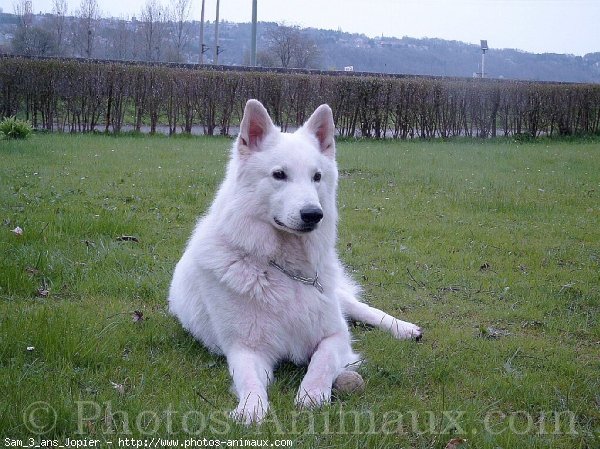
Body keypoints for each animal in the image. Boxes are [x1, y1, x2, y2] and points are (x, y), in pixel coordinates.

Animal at [168, 99, 422, 424]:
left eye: (317, 177)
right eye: (279, 175)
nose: (314, 214)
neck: (283, 269)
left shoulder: (335, 335)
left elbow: (322, 362)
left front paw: (312, 395)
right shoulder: (244, 349)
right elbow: (249, 380)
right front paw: (251, 409)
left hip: (340, 300)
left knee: (362, 309)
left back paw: (404, 329)